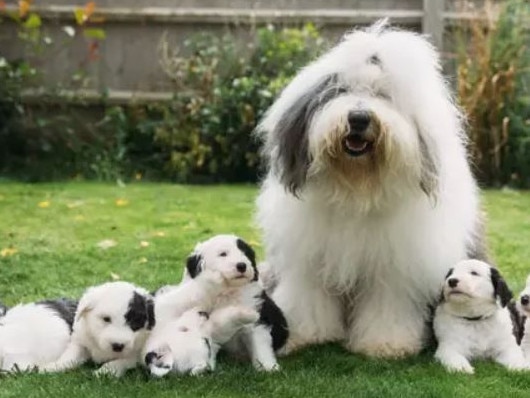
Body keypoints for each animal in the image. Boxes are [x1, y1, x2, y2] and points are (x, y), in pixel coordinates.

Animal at [183, 235, 288, 372]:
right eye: (223, 254)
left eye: (245, 254)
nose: (242, 265)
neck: (228, 291)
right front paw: (204, 366)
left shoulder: (255, 319)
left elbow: (260, 345)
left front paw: (267, 367)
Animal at [254, 19, 480, 358]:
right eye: (341, 90)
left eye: (383, 94)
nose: (359, 118)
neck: (357, 188)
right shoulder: (309, 259)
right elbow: (307, 297)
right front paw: (304, 334)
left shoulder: (395, 266)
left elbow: (387, 303)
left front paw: (386, 344)